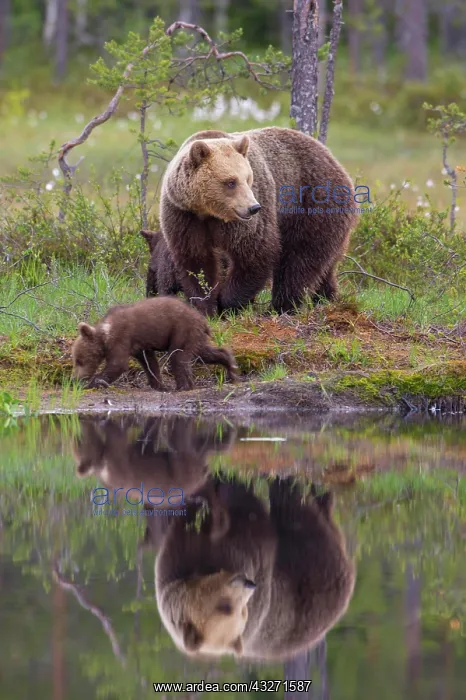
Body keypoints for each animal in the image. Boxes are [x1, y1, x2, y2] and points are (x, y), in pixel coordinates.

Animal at [71, 297, 239, 391]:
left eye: (79, 360)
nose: (75, 379)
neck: (105, 334)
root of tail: (203, 320)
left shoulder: (122, 338)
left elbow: (118, 364)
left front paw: (95, 382)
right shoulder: (139, 346)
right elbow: (150, 362)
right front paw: (158, 384)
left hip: (182, 329)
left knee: (178, 356)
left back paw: (183, 386)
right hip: (194, 336)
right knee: (204, 353)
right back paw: (231, 367)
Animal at [159, 126, 359, 316]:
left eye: (248, 178)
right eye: (231, 182)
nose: (253, 207)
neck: (208, 212)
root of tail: (334, 161)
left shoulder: (243, 221)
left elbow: (255, 253)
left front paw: (227, 303)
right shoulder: (184, 216)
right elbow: (196, 259)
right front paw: (204, 306)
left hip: (312, 204)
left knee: (299, 260)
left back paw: (281, 307)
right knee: (324, 266)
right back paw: (326, 298)